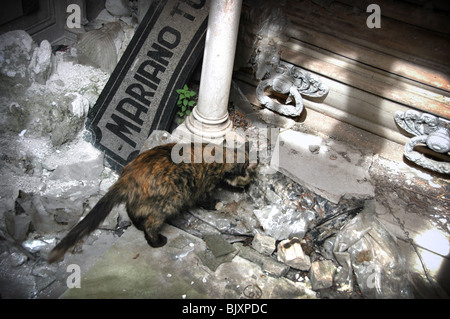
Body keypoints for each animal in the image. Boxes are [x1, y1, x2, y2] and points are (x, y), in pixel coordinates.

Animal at [48, 144, 256, 264]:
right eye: (248, 176)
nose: (250, 184)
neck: (221, 156)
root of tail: (128, 176)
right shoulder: (204, 186)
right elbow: (206, 199)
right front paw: (217, 204)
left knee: (132, 211)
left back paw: (138, 225)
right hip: (168, 203)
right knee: (150, 225)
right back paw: (156, 241)